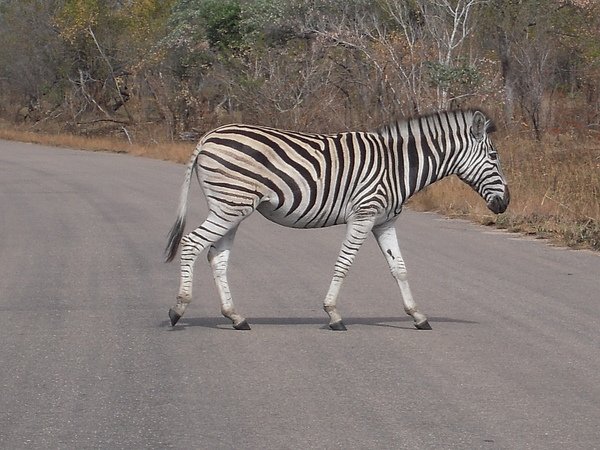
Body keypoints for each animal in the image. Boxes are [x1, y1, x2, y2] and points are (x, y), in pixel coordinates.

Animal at [165, 110, 510, 330]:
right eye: (494, 158)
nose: (505, 203)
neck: (396, 166)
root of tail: (209, 136)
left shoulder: (384, 221)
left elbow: (399, 268)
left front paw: (418, 316)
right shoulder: (363, 215)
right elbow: (344, 263)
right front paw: (333, 315)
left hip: (231, 208)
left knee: (216, 256)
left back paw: (236, 317)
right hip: (229, 205)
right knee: (192, 243)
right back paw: (178, 309)